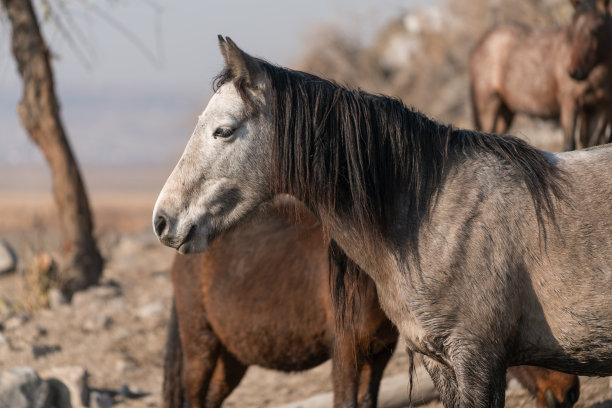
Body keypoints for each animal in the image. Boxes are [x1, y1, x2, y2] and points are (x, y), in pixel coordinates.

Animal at [470, 0, 612, 150]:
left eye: (595, 30)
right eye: (571, 31)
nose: (575, 72)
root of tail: (479, 44)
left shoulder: (600, 107)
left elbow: (594, 143)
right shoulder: (570, 102)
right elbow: (569, 145)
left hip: (505, 109)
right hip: (488, 102)